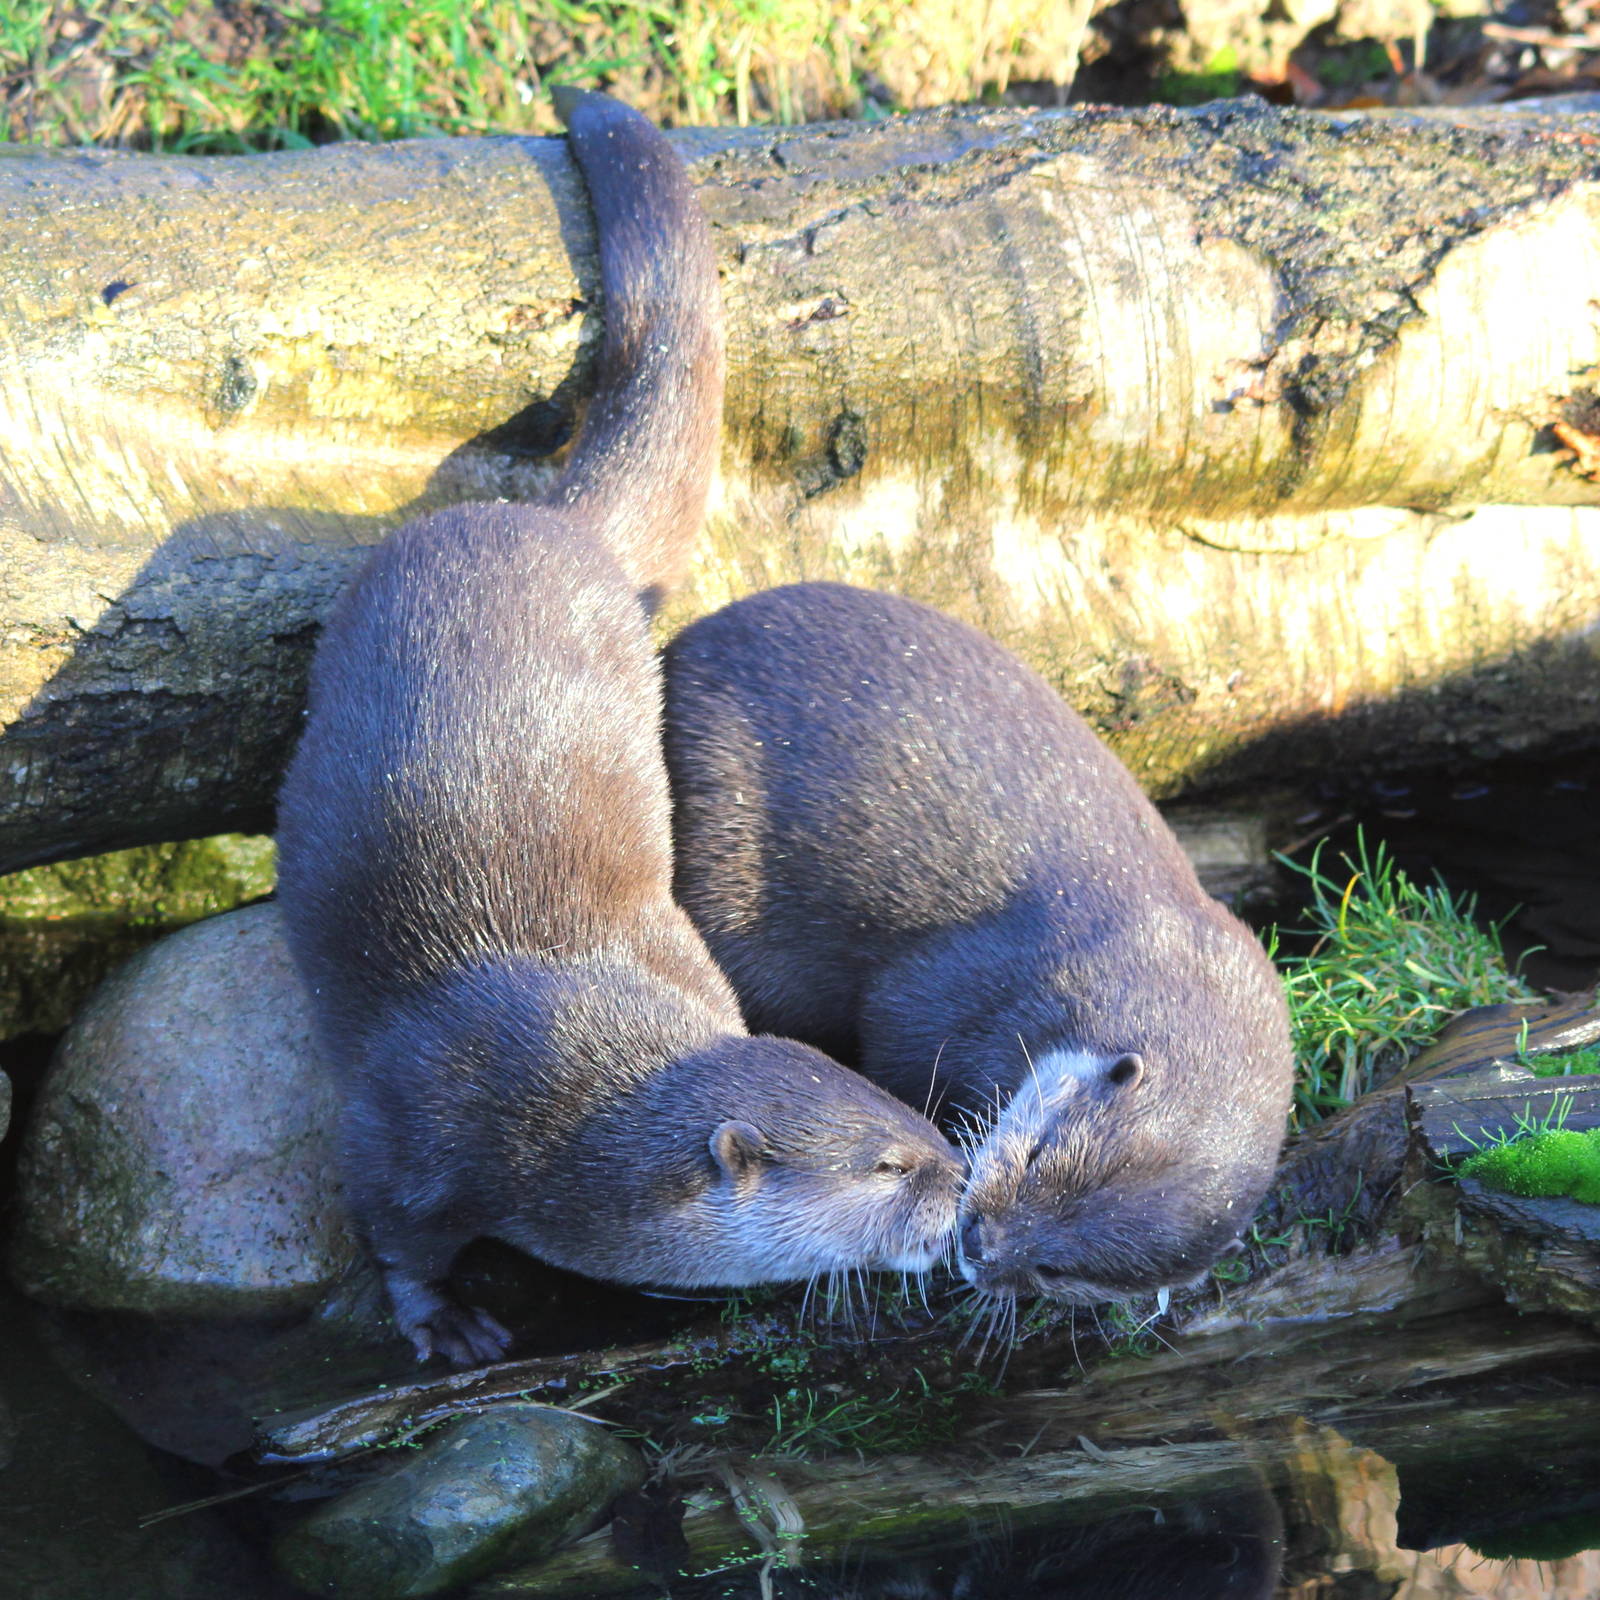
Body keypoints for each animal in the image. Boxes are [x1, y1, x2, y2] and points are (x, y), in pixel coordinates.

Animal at [275, 96, 961, 1366]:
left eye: (916, 1112)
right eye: (888, 1161)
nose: (964, 1177)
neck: (556, 1116)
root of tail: (551, 524)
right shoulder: (408, 1128)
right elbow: (393, 1235)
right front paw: (447, 1324)